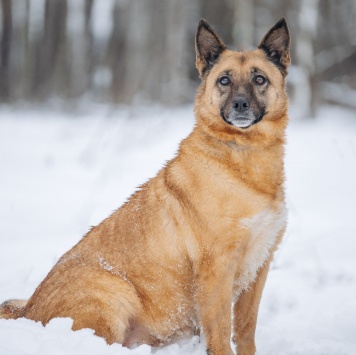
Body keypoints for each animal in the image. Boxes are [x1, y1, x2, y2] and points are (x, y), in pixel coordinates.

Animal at [0, 18, 290, 354]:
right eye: (224, 80)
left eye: (259, 79)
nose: (241, 105)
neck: (241, 157)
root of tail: (29, 309)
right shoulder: (216, 270)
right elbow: (219, 335)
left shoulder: (260, 266)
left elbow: (245, 330)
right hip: (114, 293)